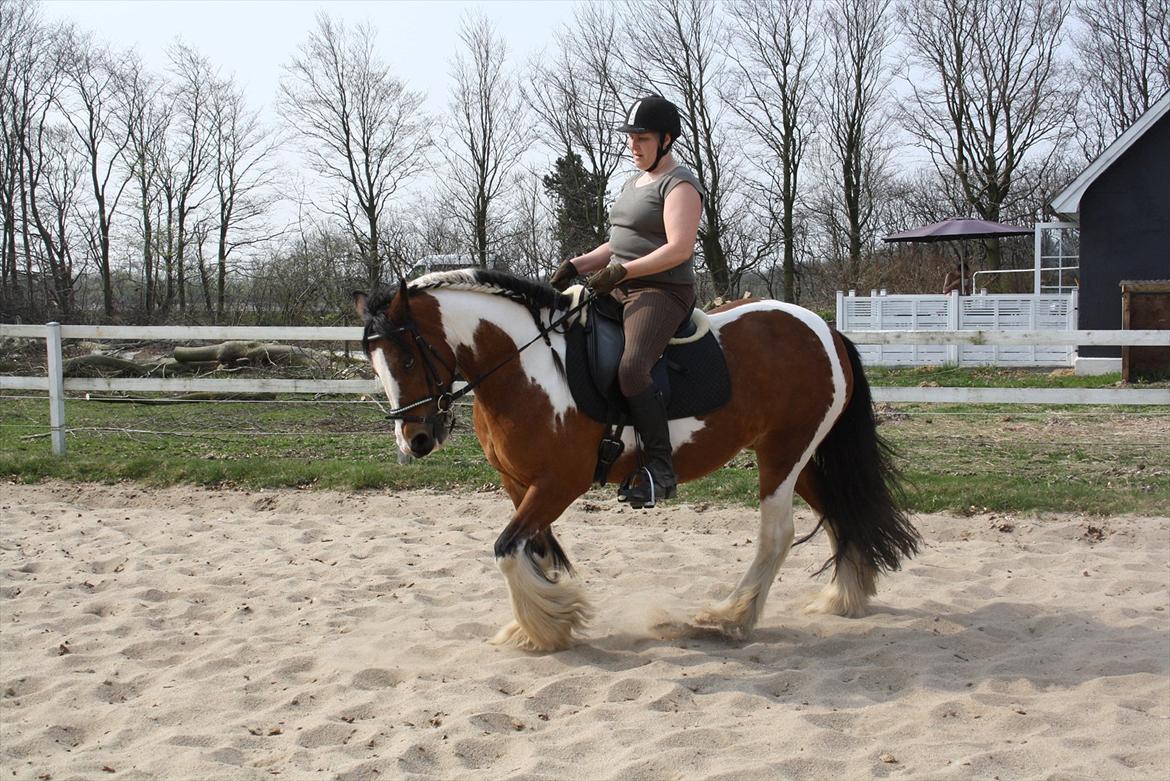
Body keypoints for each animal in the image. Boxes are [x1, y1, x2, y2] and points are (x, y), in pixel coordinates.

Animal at [351, 270, 917, 654]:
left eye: (407, 357)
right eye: (373, 362)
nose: (416, 438)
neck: (526, 365)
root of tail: (824, 329)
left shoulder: (559, 484)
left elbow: (507, 551)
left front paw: (550, 625)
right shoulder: (519, 484)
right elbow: (533, 552)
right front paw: (542, 622)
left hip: (784, 455)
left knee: (777, 535)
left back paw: (730, 617)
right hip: (802, 458)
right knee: (840, 514)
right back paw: (843, 598)